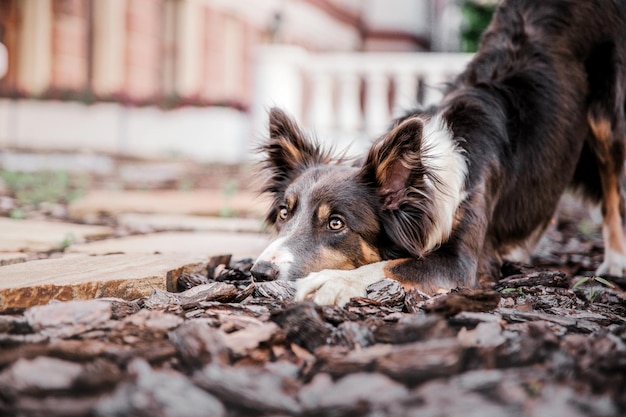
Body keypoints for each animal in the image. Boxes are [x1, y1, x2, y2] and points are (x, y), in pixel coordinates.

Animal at [249, 0, 624, 306]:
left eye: (336, 223)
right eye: (284, 213)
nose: (258, 272)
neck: (426, 185)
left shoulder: (460, 263)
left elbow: (394, 264)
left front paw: (330, 282)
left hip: (608, 119)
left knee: (613, 190)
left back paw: (616, 261)